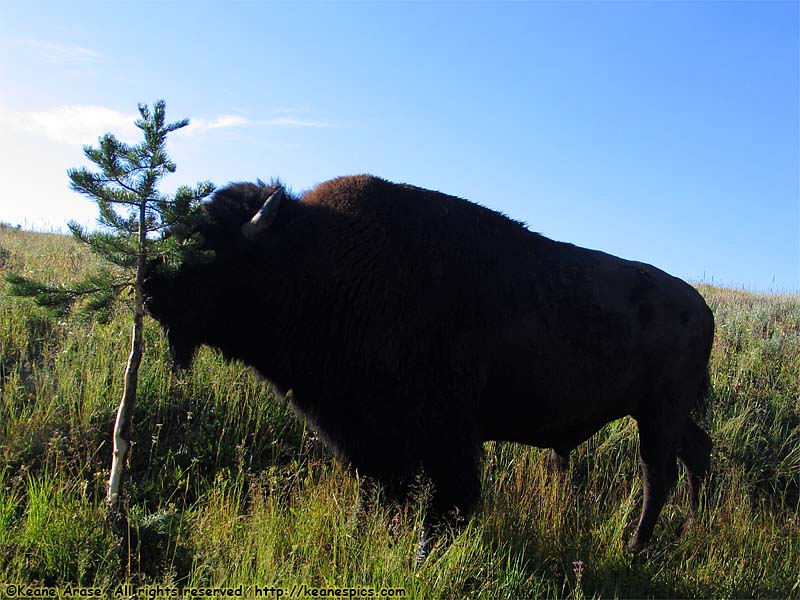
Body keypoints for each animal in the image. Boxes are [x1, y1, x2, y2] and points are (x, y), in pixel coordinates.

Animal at [142, 176, 712, 560]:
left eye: (209, 248)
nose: (149, 284)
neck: (318, 258)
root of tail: (701, 308)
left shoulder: (444, 433)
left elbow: (447, 502)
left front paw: (421, 558)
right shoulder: (363, 434)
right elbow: (374, 491)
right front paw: (363, 537)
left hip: (656, 415)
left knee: (656, 475)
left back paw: (635, 549)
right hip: (665, 414)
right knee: (697, 453)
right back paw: (688, 527)